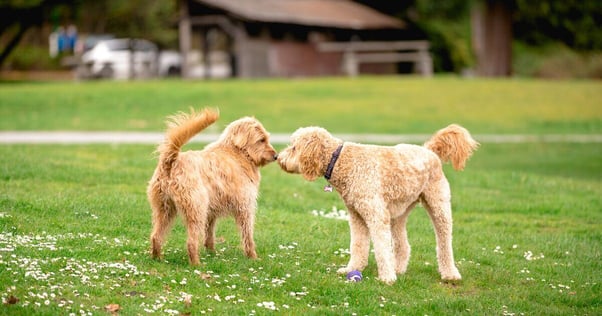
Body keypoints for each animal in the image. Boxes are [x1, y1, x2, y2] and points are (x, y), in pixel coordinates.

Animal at [146, 107, 278, 266]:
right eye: (261, 140)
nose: (276, 156)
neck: (238, 153)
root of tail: (171, 161)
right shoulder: (245, 207)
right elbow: (248, 236)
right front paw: (253, 257)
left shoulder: (211, 212)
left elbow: (209, 235)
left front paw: (212, 253)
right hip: (196, 210)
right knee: (191, 242)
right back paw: (196, 264)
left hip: (164, 210)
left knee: (156, 236)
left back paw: (157, 259)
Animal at [278, 125, 478, 284]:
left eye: (294, 147)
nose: (279, 158)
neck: (341, 161)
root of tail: (429, 150)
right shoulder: (357, 216)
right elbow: (358, 245)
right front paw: (352, 269)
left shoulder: (376, 215)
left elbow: (381, 248)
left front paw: (387, 278)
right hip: (399, 212)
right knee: (403, 245)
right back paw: (398, 269)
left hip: (438, 205)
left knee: (444, 242)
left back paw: (450, 274)